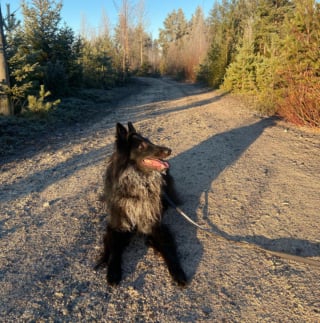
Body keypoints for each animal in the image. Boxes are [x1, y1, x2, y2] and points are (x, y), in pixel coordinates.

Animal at [95, 121, 186, 286]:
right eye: (141, 146)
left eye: (150, 141)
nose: (169, 150)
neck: (136, 183)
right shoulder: (117, 225)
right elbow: (114, 250)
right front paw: (112, 273)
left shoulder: (154, 224)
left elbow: (168, 249)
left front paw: (178, 273)